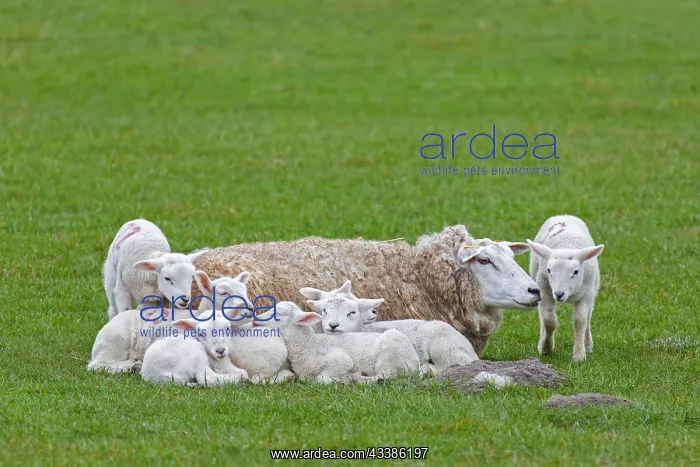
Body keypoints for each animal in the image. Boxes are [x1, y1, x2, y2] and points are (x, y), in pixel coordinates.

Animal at [88, 271, 253, 374]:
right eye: (223, 293)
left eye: (244, 290)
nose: (250, 309)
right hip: (114, 342)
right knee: (98, 365)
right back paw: (129, 366)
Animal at [270, 300, 420, 383]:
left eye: (279, 314)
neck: (307, 344)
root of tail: (416, 362)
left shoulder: (340, 361)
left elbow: (321, 380)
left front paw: (344, 379)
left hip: (391, 350)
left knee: (386, 375)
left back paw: (359, 378)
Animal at [527, 215, 605, 361]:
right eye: (549, 270)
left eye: (575, 272)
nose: (559, 294)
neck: (567, 244)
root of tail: (564, 215)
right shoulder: (545, 290)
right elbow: (549, 321)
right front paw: (546, 348)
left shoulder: (586, 294)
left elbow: (580, 321)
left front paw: (579, 354)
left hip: (592, 290)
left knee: (588, 318)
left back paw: (588, 345)